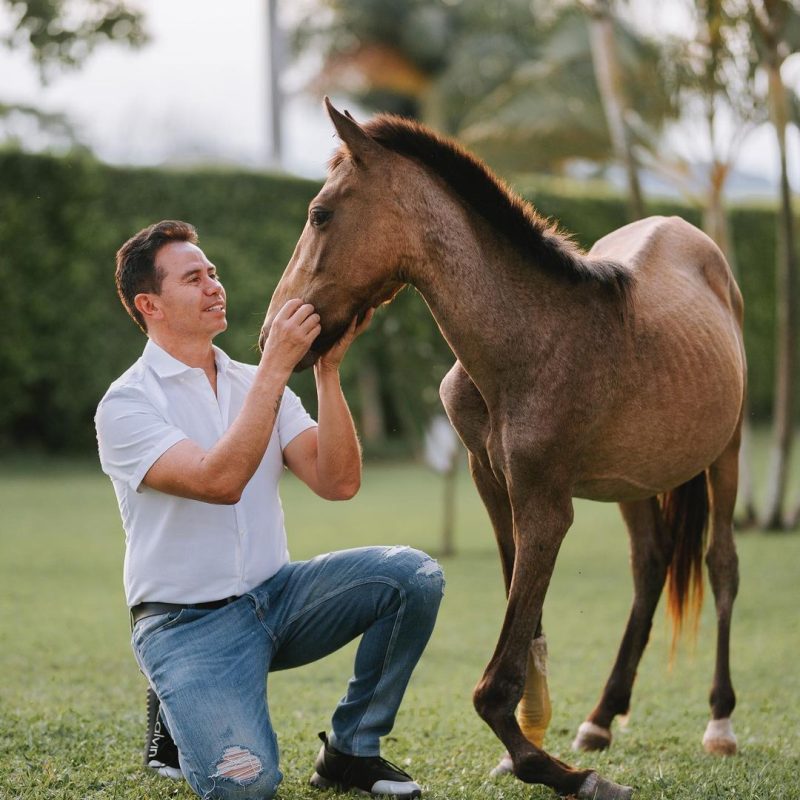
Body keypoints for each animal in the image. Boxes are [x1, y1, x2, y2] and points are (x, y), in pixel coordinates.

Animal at [260, 100, 744, 800]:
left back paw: (720, 722)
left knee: (722, 564)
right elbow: (529, 621)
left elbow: (497, 676)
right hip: (634, 482)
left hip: (726, 453)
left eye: (320, 214)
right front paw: (535, 745)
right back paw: (601, 718)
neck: (529, 339)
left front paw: (557, 770)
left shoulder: (547, 507)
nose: (273, 333)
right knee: (650, 566)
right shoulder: (494, 485)